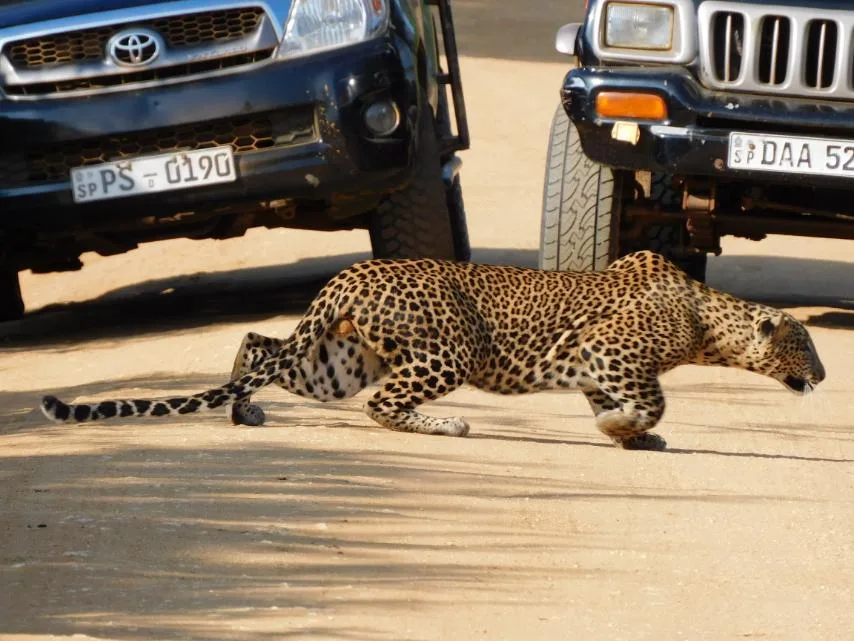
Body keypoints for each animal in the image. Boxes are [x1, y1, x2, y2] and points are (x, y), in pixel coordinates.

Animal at [39, 250, 826, 451]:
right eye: (809, 343)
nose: (823, 373)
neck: (707, 319)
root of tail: (349, 274)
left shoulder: (598, 366)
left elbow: (627, 404)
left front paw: (630, 437)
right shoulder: (611, 353)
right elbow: (651, 399)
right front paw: (623, 428)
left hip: (335, 362)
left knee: (257, 343)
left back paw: (243, 413)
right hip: (446, 351)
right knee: (384, 406)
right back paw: (449, 424)